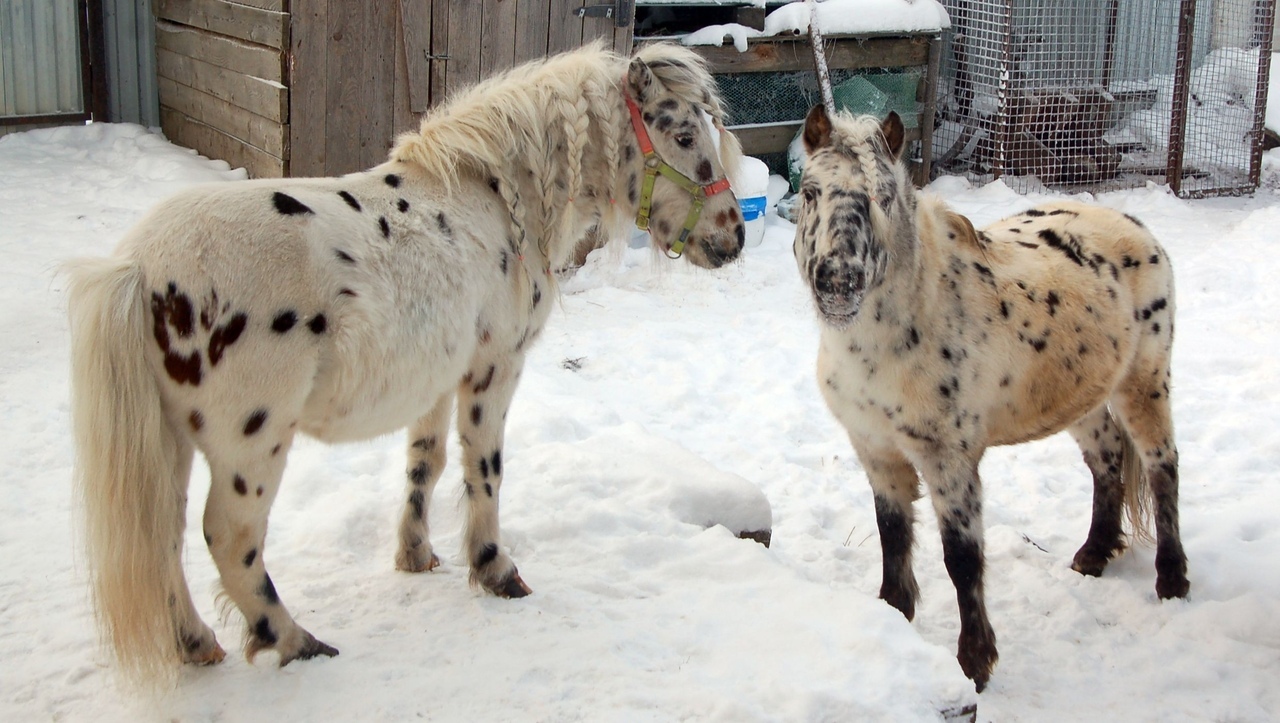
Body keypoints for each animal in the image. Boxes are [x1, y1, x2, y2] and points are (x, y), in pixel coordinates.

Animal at [64, 39, 747, 680]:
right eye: (684, 135)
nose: (733, 235)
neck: (498, 198)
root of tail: (139, 267)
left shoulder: (438, 380)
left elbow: (427, 463)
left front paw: (416, 556)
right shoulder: (494, 370)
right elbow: (484, 469)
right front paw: (495, 569)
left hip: (171, 440)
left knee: (160, 534)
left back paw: (196, 643)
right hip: (250, 447)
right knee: (230, 538)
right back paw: (295, 641)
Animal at [788, 104, 1187, 691]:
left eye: (884, 196)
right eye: (811, 191)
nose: (838, 282)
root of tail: (1133, 227)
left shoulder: (950, 461)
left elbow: (962, 559)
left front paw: (975, 663)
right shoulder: (876, 451)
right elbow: (892, 535)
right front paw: (893, 618)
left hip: (1144, 381)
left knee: (1162, 467)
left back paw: (1172, 580)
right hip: (1085, 396)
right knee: (1108, 457)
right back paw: (1094, 554)